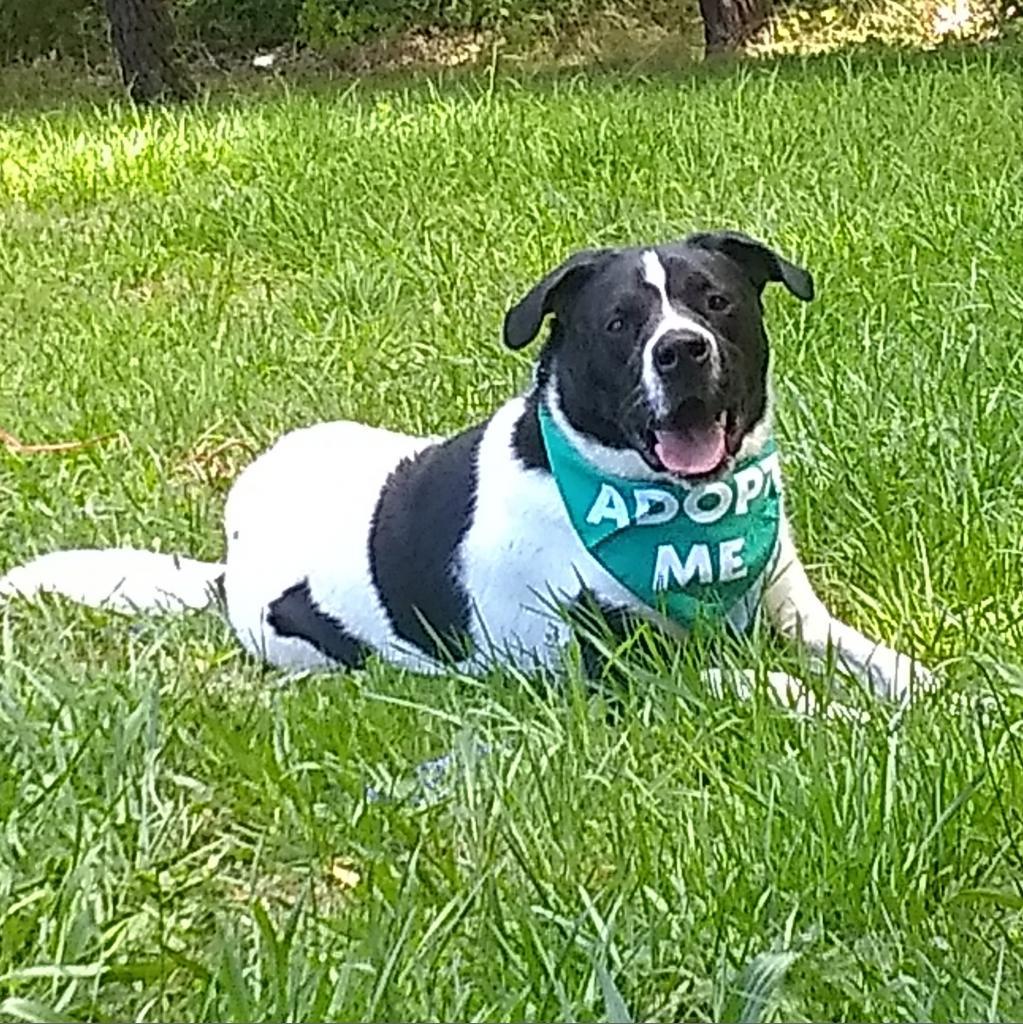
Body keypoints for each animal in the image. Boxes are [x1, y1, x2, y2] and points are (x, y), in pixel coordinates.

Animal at [0, 232, 938, 708]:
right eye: (618, 323)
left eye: (715, 302)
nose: (680, 350)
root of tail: (229, 562)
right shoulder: (604, 670)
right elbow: (759, 683)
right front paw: (832, 713)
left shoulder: (790, 611)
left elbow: (874, 658)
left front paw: (934, 693)